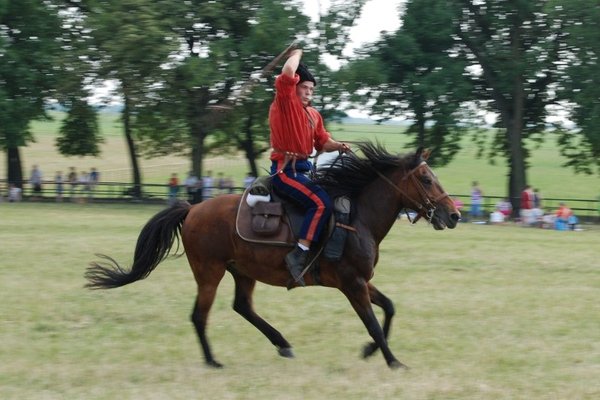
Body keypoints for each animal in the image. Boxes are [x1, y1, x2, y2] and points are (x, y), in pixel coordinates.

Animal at [84, 142, 460, 370]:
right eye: (426, 179)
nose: (454, 215)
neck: (357, 217)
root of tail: (192, 209)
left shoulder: (361, 282)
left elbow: (389, 309)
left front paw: (371, 351)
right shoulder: (352, 284)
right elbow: (373, 323)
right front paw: (393, 360)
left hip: (242, 271)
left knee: (243, 307)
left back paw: (282, 343)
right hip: (209, 271)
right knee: (199, 316)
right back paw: (213, 360)